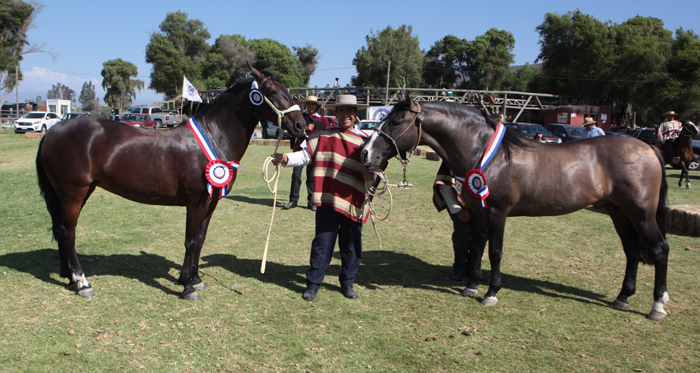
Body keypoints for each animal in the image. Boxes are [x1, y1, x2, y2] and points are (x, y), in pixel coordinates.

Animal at [34, 66, 304, 300]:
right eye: (272, 92)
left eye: (287, 90)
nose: (300, 125)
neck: (214, 136)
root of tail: (51, 132)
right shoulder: (196, 202)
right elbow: (191, 241)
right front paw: (186, 286)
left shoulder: (211, 202)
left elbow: (201, 240)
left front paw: (196, 279)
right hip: (73, 193)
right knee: (68, 233)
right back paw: (82, 283)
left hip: (77, 192)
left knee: (60, 230)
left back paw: (70, 278)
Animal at [364, 93, 668, 320]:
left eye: (396, 121)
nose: (367, 153)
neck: (487, 153)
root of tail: (648, 147)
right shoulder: (478, 214)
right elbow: (477, 247)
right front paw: (471, 286)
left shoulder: (497, 213)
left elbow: (495, 252)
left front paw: (491, 293)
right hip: (619, 212)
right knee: (632, 250)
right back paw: (623, 297)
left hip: (641, 213)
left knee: (659, 249)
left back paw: (657, 306)